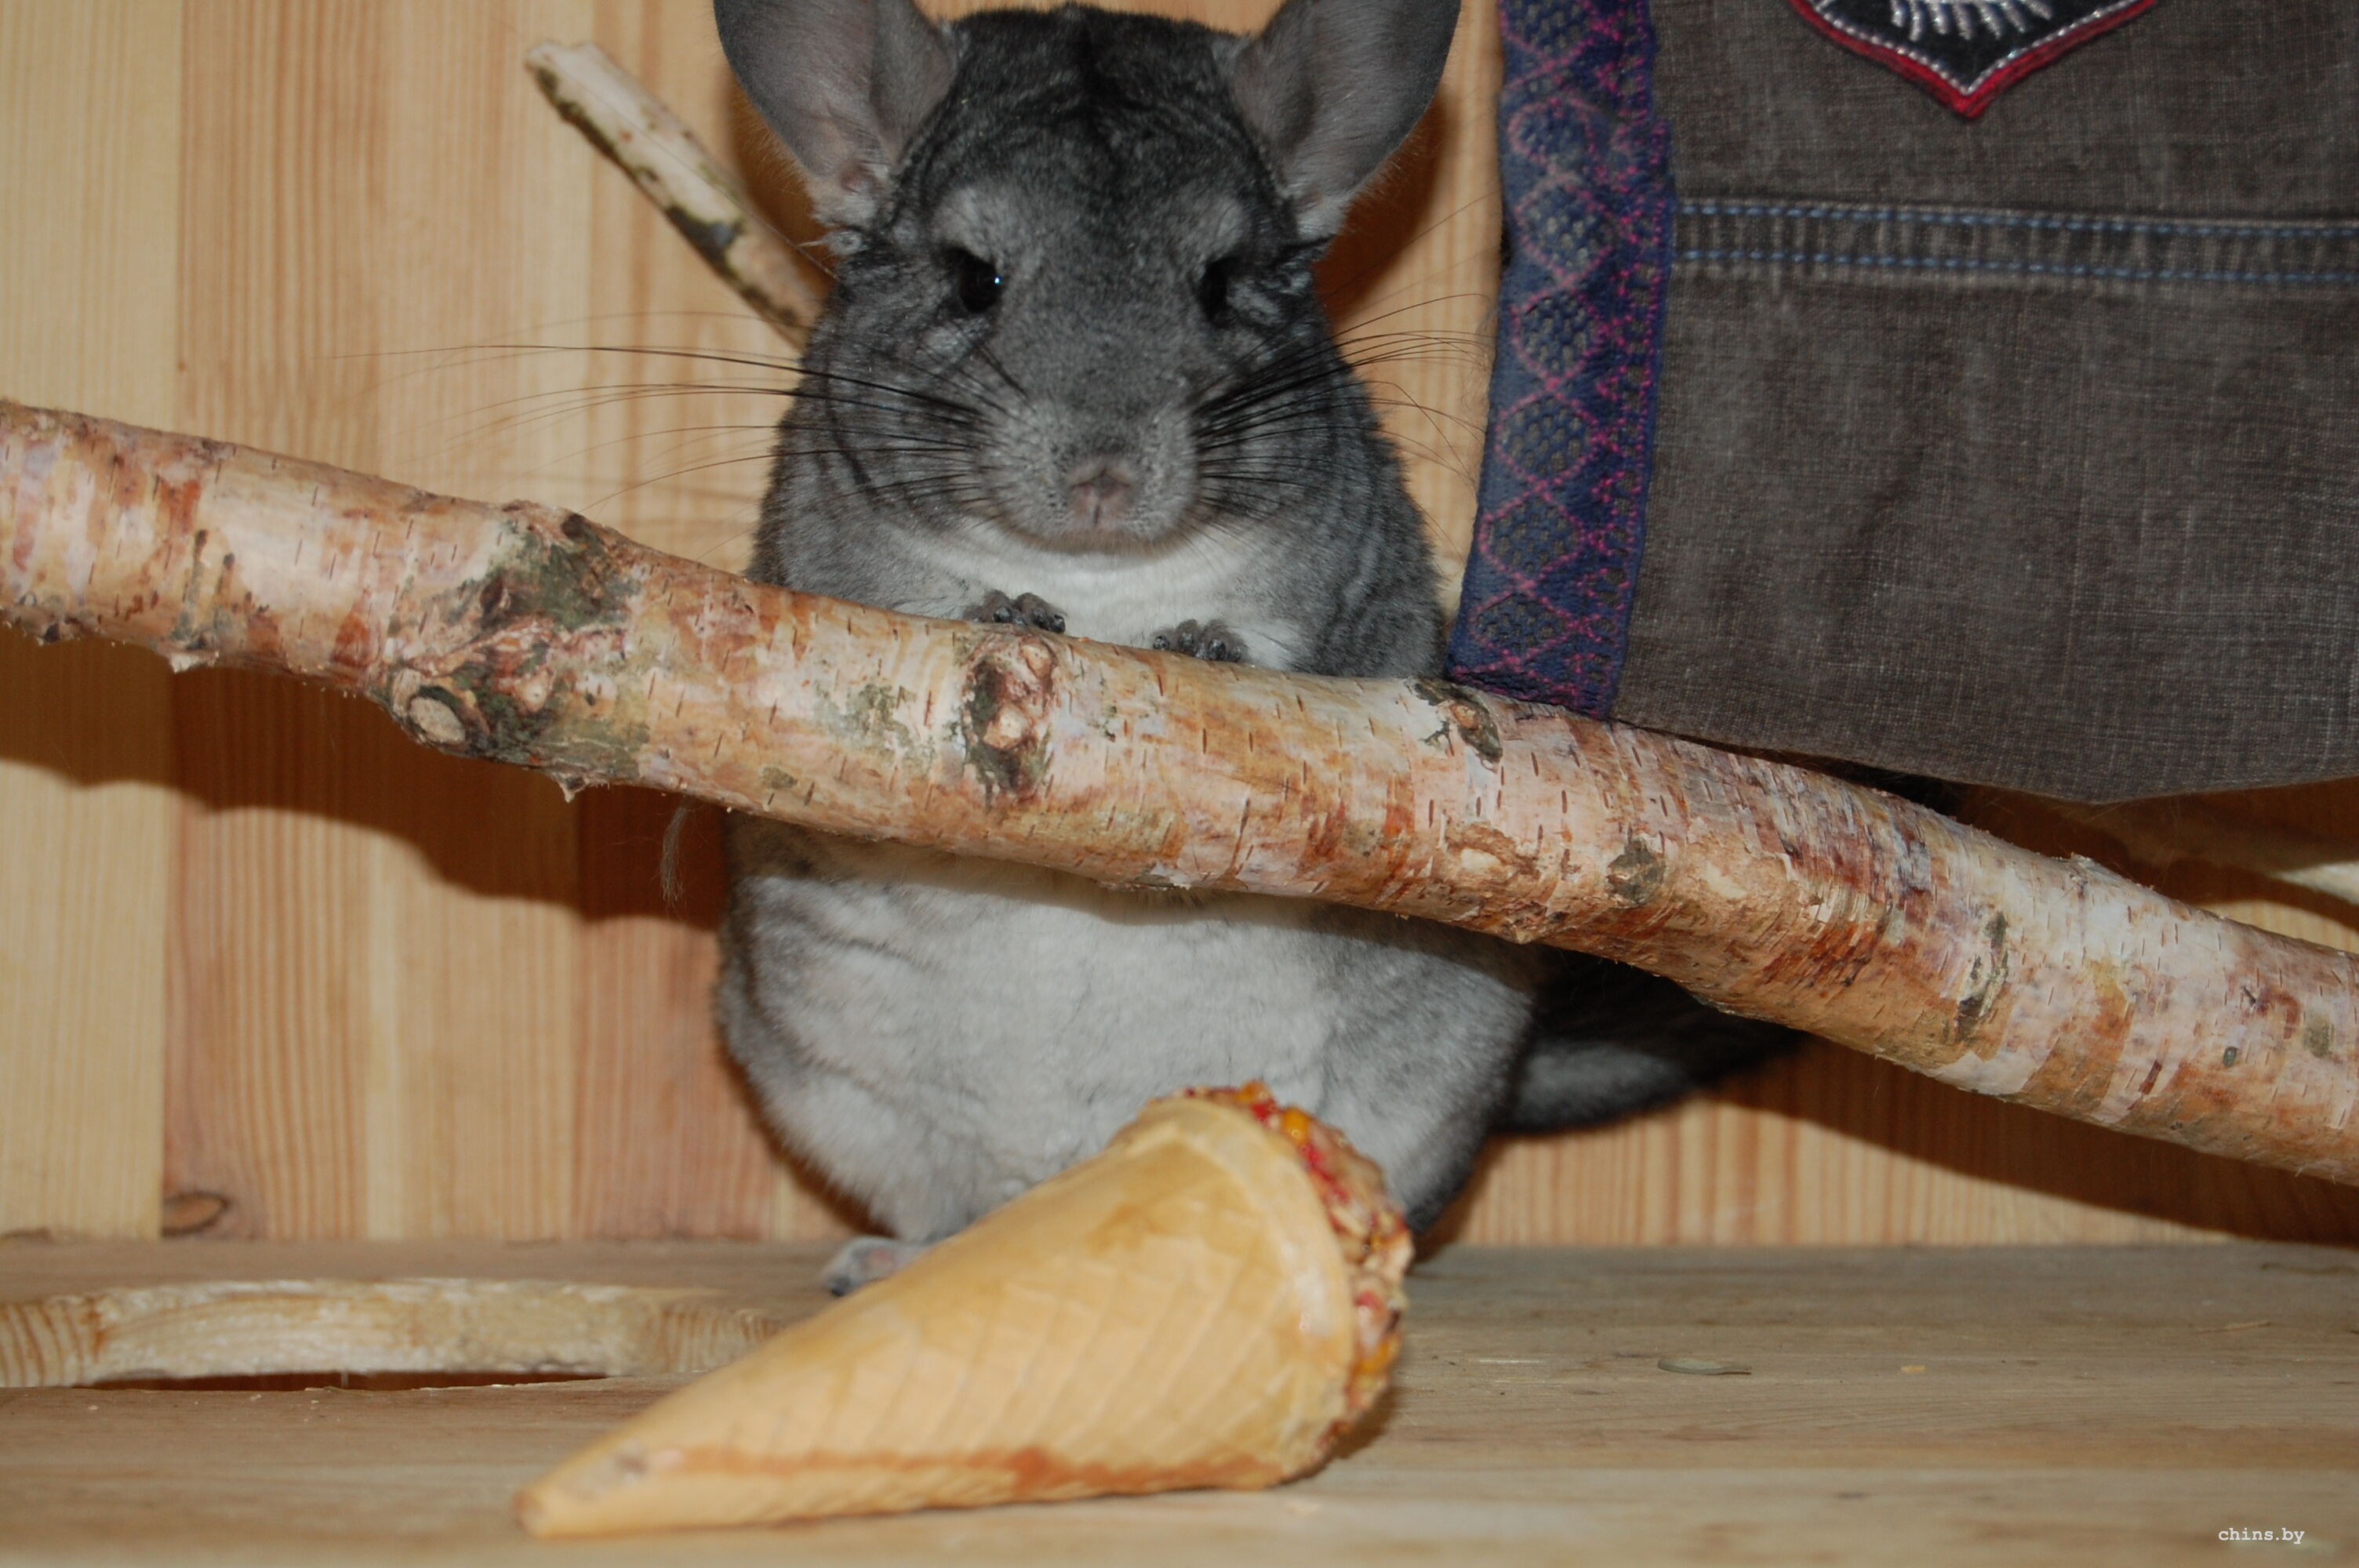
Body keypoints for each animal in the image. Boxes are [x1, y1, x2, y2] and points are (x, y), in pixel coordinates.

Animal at [710, 0, 1790, 1289]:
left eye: (1220, 283)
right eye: (974, 279)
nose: (1103, 474)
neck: (1100, 572)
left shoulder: (1351, 606)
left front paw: (1205, 642)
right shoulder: (822, 569)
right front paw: (1004, 613)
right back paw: (886, 1262)